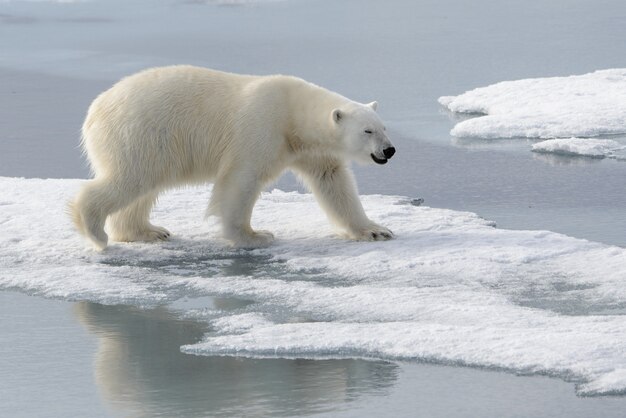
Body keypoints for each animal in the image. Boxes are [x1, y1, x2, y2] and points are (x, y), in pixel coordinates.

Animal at [69, 65, 394, 248]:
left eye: (384, 127)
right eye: (367, 131)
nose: (389, 150)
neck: (293, 115)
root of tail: (94, 111)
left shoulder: (310, 149)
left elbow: (334, 182)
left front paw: (375, 230)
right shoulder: (260, 127)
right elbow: (241, 181)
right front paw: (255, 236)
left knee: (144, 188)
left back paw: (148, 231)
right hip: (141, 133)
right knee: (128, 180)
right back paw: (96, 233)